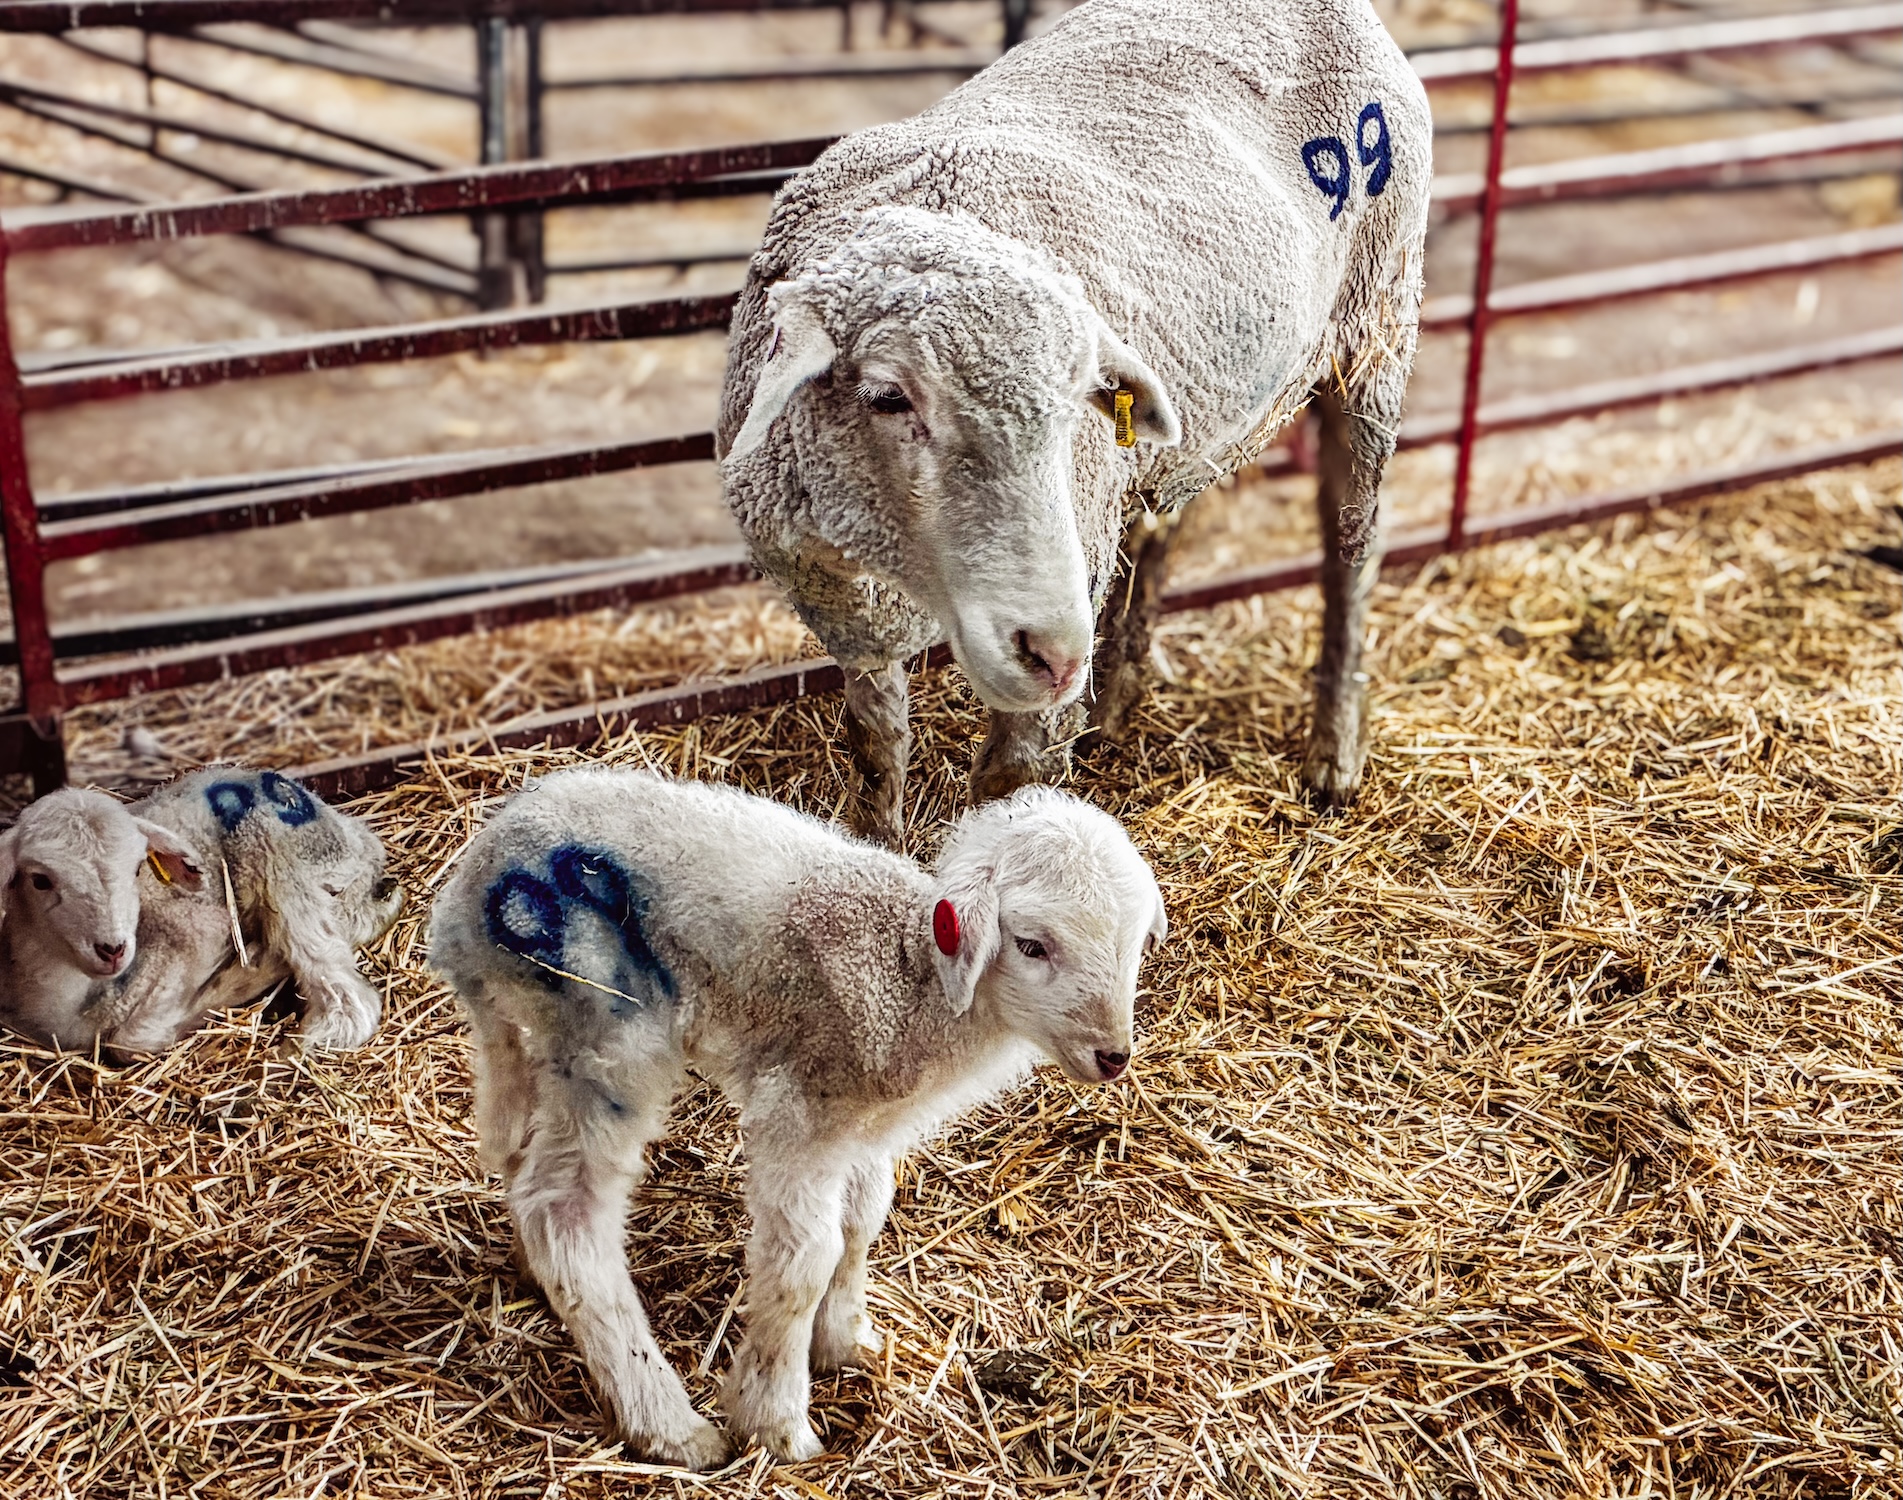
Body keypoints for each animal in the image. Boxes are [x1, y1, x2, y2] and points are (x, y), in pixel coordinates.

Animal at [0, 768, 402, 1056]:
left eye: (137, 868)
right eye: (40, 880)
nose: (113, 949)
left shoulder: (197, 932)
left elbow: (132, 1041)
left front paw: (239, 978)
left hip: (277, 854)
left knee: (346, 988)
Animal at [427, 767, 1166, 1467]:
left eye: (1134, 945)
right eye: (1033, 945)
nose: (1112, 1057)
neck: (912, 982)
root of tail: (466, 892)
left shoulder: (860, 1127)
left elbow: (862, 1222)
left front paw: (845, 1340)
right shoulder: (802, 1113)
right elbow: (804, 1261)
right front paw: (774, 1421)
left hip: (537, 1038)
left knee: (518, 1152)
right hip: (603, 1031)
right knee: (565, 1209)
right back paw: (667, 1425)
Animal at [718, 0, 1431, 846]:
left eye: (1071, 401)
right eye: (889, 397)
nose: (1057, 655)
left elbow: (1009, 783)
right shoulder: (845, 611)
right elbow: (875, 749)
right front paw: (875, 850)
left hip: (1377, 321)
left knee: (1350, 548)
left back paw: (1332, 756)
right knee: (1162, 525)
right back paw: (1111, 706)